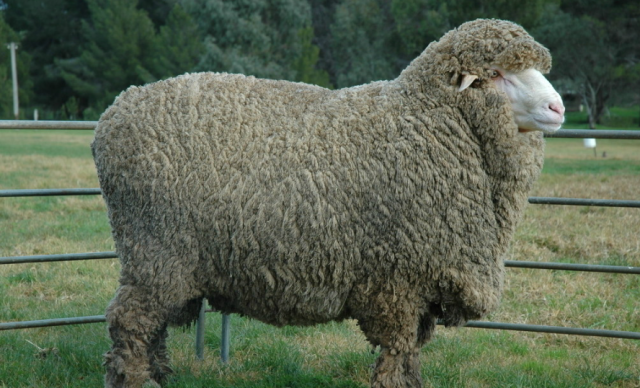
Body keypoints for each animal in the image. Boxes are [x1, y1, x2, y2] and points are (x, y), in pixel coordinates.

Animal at [94, 18, 564, 388]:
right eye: (498, 72)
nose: (558, 108)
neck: (431, 123)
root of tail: (115, 109)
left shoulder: (422, 281)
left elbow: (412, 351)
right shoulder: (397, 278)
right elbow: (397, 349)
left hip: (165, 261)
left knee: (151, 325)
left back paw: (158, 374)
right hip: (156, 247)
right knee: (130, 321)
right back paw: (136, 379)